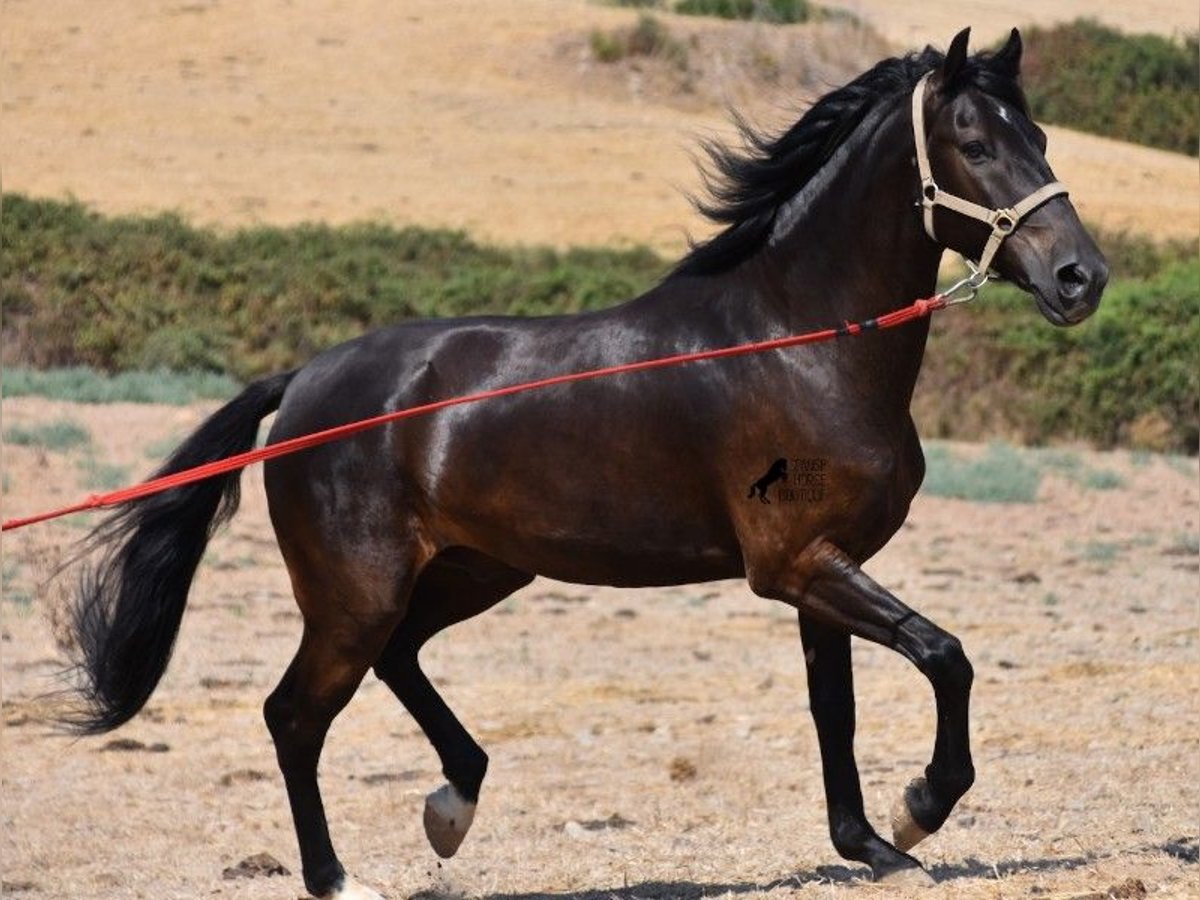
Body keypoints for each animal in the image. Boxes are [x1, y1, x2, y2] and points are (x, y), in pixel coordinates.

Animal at [65, 28, 1104, 900]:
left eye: (1041, 133)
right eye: (974, 141)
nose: (1081, 278)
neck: (801, 341)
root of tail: (307, 382)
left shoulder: (823, 568)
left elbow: (835, 710)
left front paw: (874, 846)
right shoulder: (796, 567)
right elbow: (946, 656)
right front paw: (919, 808)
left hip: (476, 570)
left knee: (397, 662)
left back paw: (453, 806)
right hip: (355, 592)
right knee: (294, 716)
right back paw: (342, 879)